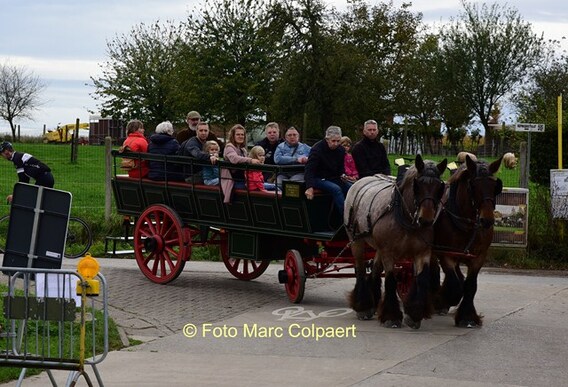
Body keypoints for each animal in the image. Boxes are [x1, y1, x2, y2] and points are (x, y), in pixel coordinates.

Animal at [342, 155, 448, 330]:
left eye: (439, 186)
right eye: (417, 185)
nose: (426, 220)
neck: (406, 217)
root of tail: (359, 181)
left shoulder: (423, 252)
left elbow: (422, 279)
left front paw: (414, 314)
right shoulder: (388, 252)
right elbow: (391, 280)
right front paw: (392, 317)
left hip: (378, 245)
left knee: (375, 269)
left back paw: (373, 302)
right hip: (355, 239)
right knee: (360, 270)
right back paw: (363, 306)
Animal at [432, 155, 504, 328]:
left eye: (495, 186)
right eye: (473, 185)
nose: (487, 220)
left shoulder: (478, 256)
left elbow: (470, 285)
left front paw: (467, 316)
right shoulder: (446, 253)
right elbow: (454, 285)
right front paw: (441, 300)